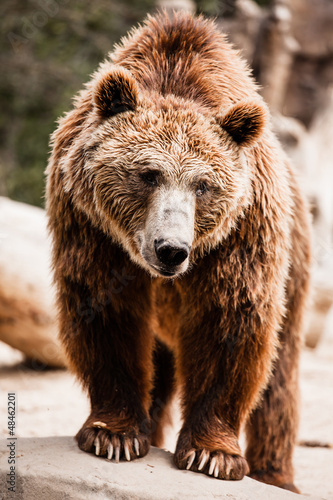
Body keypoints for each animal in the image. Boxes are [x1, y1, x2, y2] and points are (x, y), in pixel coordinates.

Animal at [45, 10, 310, 492]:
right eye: (148, 174)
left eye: (203, 184)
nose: (171, 250)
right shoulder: (89, 224)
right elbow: (106, 311)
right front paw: (114, 434)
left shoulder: (241, 231)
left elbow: (231, 320)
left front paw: (212, 453)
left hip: (295, 267)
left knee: (280, 376)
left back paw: (275, 475)